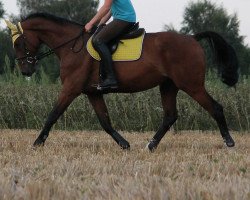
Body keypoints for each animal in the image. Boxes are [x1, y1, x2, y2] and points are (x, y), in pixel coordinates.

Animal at [4, 12, 237, 151]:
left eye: (18, 43)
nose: (25, 70)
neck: (71, 46)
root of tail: (192, 38)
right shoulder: (93, 93)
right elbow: (105, 122)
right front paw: (124, 143)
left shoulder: (70, 89)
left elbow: (53, 115)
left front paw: (37, 143)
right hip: (168, 86)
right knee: (170, 116)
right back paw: (150, 145)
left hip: (191, 85)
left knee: (215, 108)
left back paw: (229, 141)